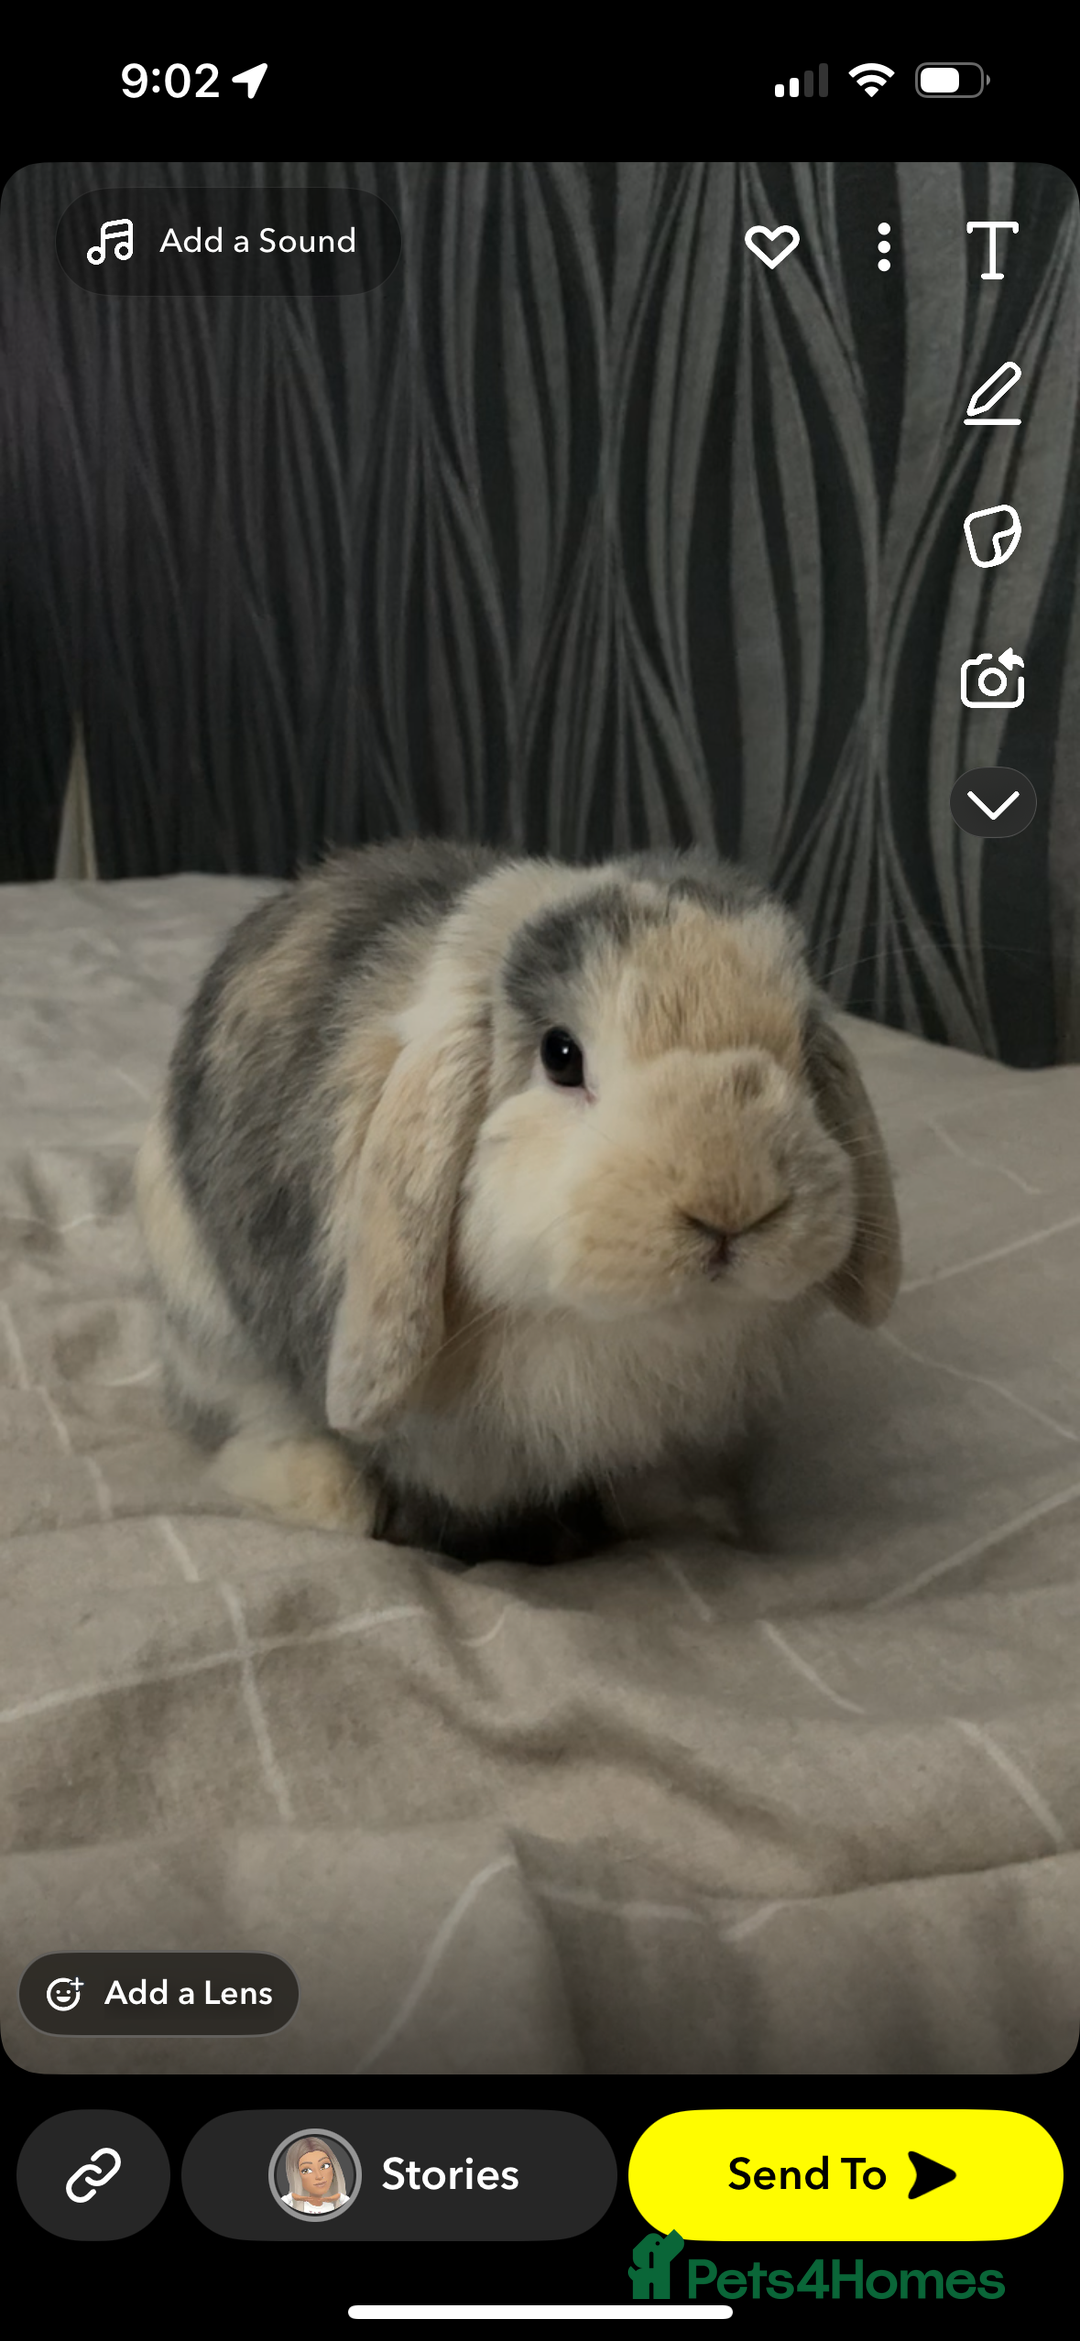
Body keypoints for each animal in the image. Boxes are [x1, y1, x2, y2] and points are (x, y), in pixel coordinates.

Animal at [134, 837, 901, 1564]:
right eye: (560, 1055)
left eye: (801, 1049)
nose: (732, 1206)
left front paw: (691, 1514)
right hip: (203, 1316)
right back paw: (323, 1489)